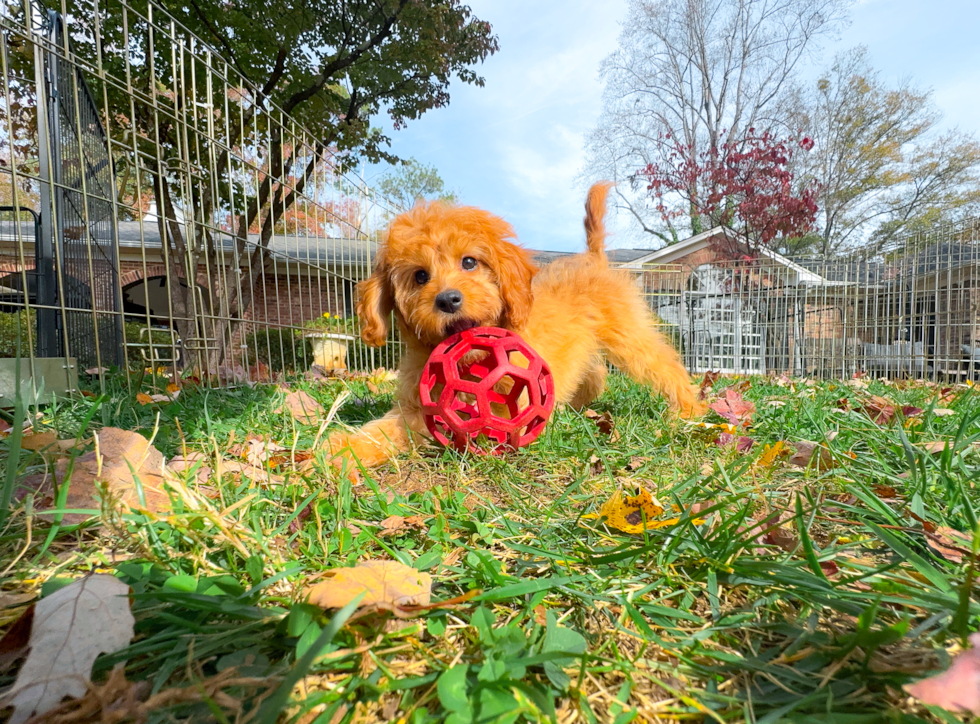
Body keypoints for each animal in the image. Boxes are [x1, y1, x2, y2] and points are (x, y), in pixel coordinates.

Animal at [330, 184, 704, 472]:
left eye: (469, 262)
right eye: (420, 275)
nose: (448, 299)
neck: (471, 363)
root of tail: (594, 257)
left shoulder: (508, 408)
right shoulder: (419, 401)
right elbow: (394, 426)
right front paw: (342, 449)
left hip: (628, 333)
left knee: (664, 364)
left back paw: (688, 410)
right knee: (596, 373)